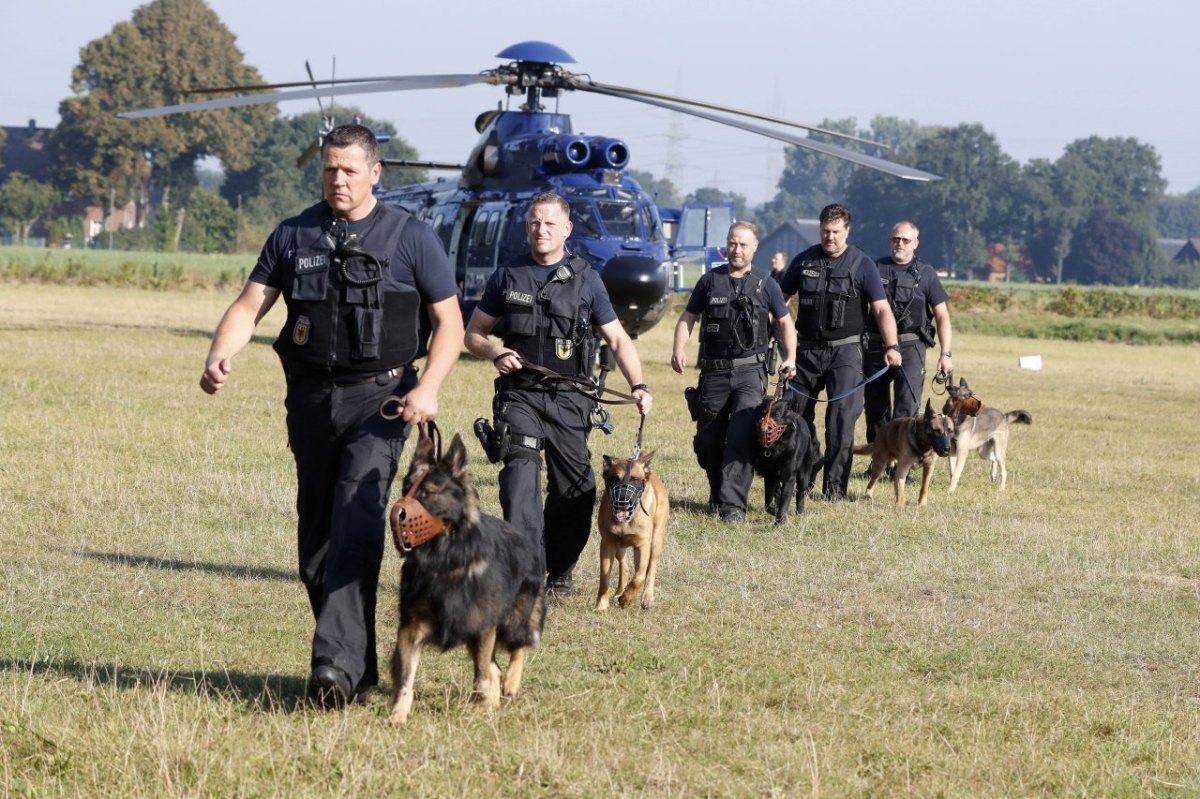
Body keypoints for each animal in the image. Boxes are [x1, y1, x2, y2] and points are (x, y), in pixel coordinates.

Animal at [386, 431, 547, 724]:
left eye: (427, 493)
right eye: (405, 489)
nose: (397, 514)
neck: (445, 559)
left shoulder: (482, 623)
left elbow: (482, 675)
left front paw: (484, 707)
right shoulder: (412, 628)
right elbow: (405, 677)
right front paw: (398, 715)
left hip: (513, 621)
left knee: (517, 649)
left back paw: (510, 685)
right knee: (495, 666)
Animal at [595, 448, 672, 609]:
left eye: (635, 479)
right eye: (614, 479)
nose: (622, 501)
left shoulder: (643, 545)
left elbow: (640, 577)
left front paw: (626, 599)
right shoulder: (607, 543)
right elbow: (604, 579)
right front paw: (601, 606)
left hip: (655, 541)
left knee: (650, 569)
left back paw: (647, 597)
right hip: (619, 546)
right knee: (625, 566)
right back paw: (619, 592)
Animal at [748, 386, 825, 523]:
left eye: (777, 415)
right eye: (762, 413)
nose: (764, 429)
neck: (777, 447)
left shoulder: (789, 478)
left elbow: (784, 502)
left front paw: (780, 521)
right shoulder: (770, 476)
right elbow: (768, 503)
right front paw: (775, 512)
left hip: (804, 473)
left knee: (800, 493)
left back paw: (800, 513)